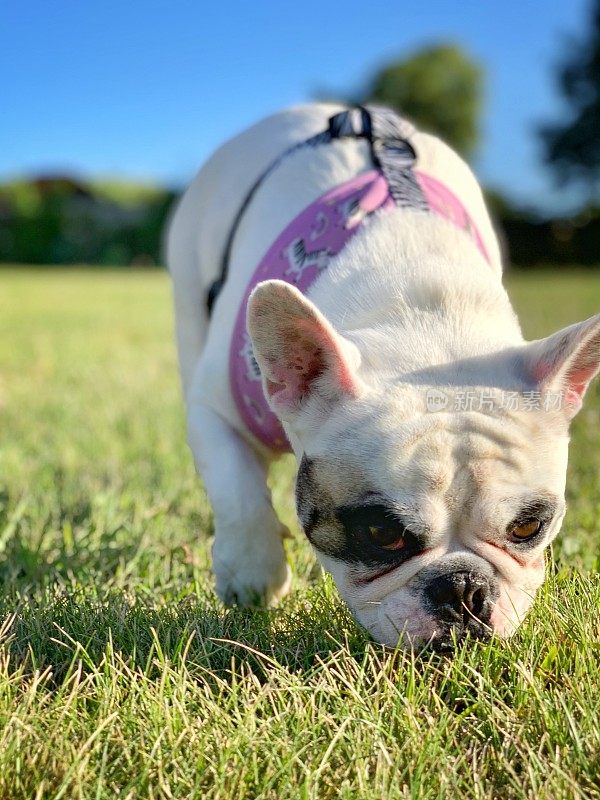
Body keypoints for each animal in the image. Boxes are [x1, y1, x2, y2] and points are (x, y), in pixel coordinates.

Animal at [165, 103, 600, 648]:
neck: (424, 315)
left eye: (527, 528)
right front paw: (252, 576)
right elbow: (238, 494)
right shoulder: (215, 413)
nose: (463, 589)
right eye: (380, 533)